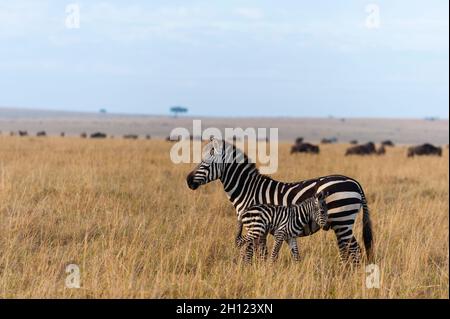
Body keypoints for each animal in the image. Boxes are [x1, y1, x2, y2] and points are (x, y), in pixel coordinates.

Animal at [185, 139, 374, 264]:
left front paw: (255, 271)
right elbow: (259, 252)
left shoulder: (256, 224)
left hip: (342, 220)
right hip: (343, 223)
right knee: (351, 249)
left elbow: (255, 252)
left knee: (352, 249)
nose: (188, 181)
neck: (247, 190)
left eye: (205, 163)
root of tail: (354, 182)